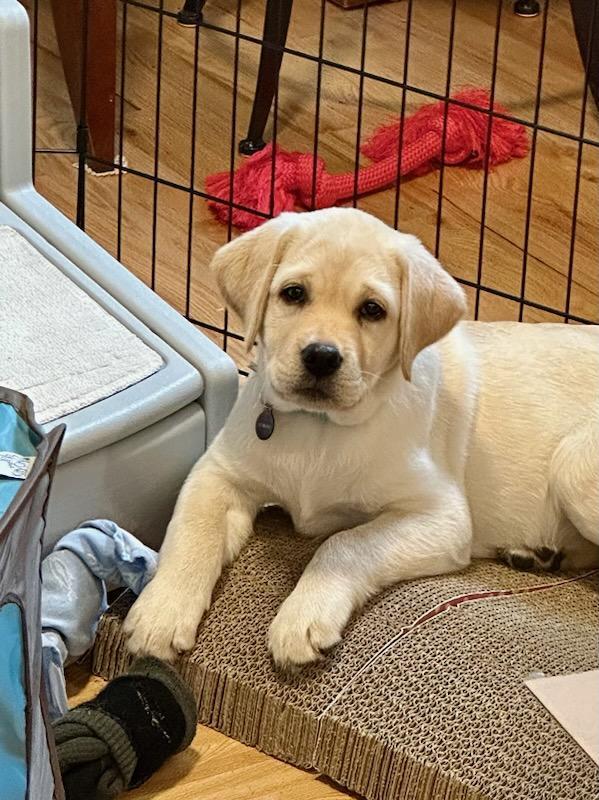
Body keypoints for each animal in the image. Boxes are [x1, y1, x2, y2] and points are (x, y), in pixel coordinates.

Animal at [123, 208, 599, 668]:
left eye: (372, 309)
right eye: (293, 293)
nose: (321, 357)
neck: (319, 427)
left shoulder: (441, 516)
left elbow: (345, 543)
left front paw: (303, 617)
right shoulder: (218, 472)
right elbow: (191, 531)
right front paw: (160, 614)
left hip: (574, 465)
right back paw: (538, 553)